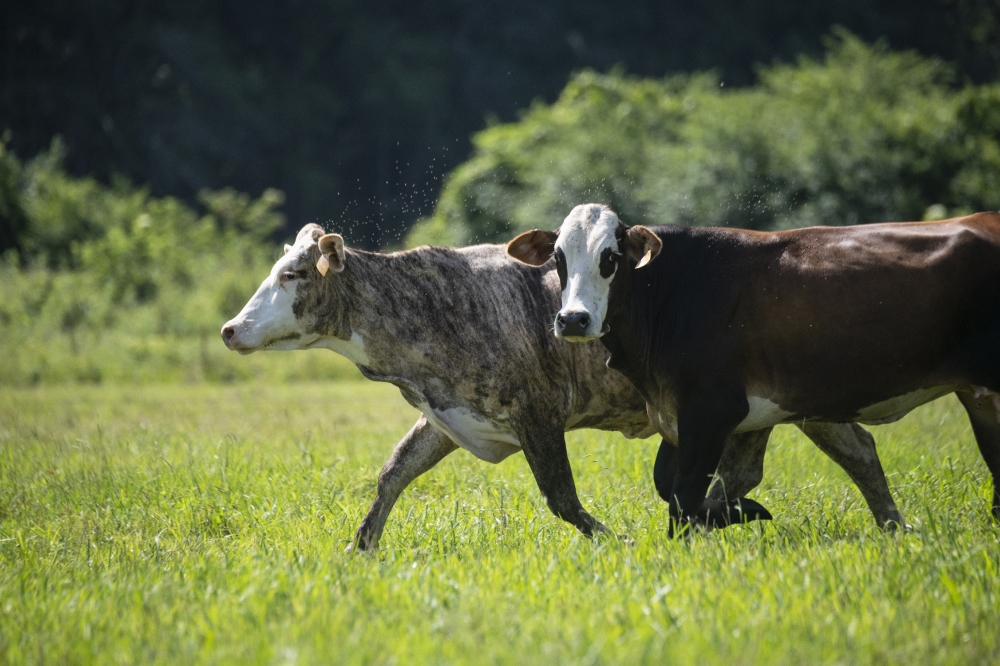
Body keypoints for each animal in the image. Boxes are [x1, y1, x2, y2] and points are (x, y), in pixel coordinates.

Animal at [227, 223, 900, 544]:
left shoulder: (538, 413)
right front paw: (360, 548)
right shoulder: (449, 415)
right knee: (843, 453)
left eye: (291, 274)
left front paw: (616, 540)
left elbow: (562, 498)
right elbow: (394, 473)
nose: (231, 328)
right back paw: (895, 528)